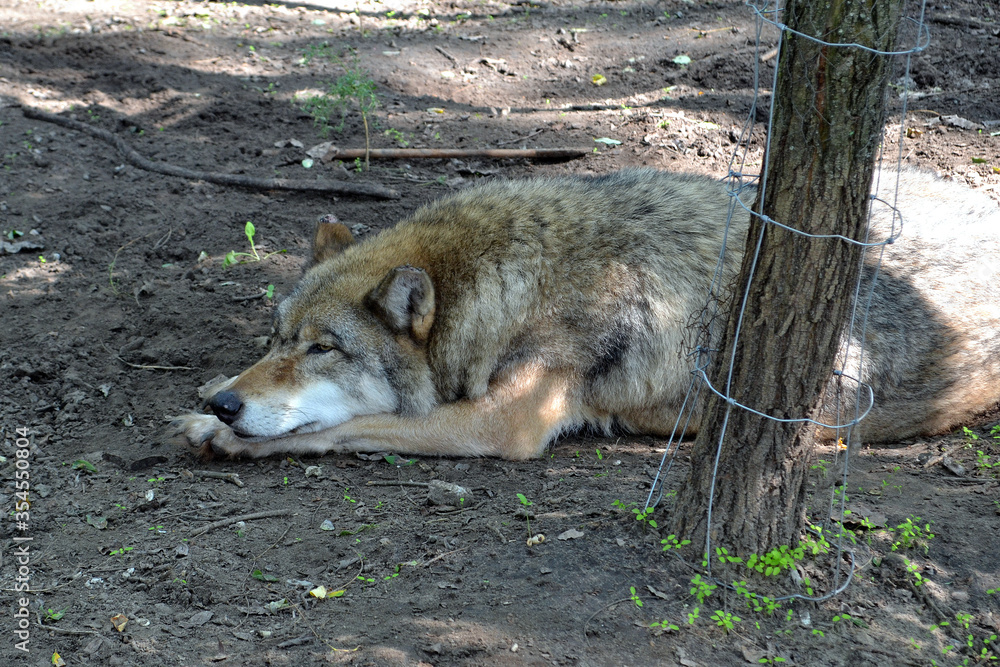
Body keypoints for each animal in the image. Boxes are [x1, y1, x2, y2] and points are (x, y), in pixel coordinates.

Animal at [171, 168, 1000, 460]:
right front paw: (209, 405)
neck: (514, 280)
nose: (228, 401)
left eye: (324, 349)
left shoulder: (503, 421)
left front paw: (225, 434)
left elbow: (349, 424)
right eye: (278, 338)